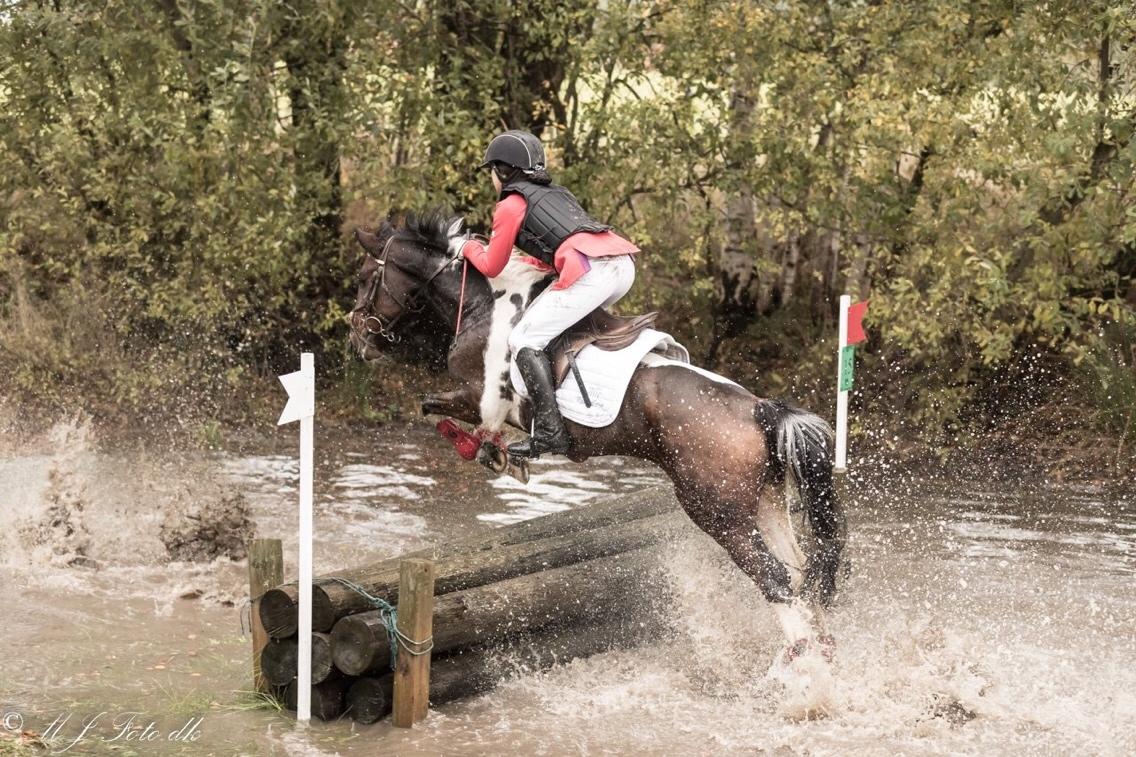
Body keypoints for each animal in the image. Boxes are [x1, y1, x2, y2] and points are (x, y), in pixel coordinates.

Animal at [349, 208, 849, 672]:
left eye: (365, 278)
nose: (358, 337)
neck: (480, 307)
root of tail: (761, 410)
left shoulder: (482, 395)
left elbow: (436, 409)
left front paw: (495, 453)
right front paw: (506, 456)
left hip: (718, 511)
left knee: (774, 578)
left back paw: (801, 678)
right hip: (766, 501)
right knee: (799, 570)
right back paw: (824, 653)